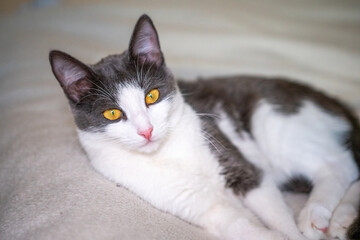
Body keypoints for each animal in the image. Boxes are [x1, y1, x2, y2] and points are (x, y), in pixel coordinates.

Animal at [48, 15, 360, 240]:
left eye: (152, 96)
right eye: (113, 113)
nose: (146, 131)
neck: (166, 152)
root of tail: (334, 102)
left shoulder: (228, 151)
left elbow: (270, 204)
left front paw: (292, 232)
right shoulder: (185, 200)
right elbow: (238, 225)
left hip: (277, 121)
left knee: (340, 165)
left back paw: (314, 215)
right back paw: (341, 220)